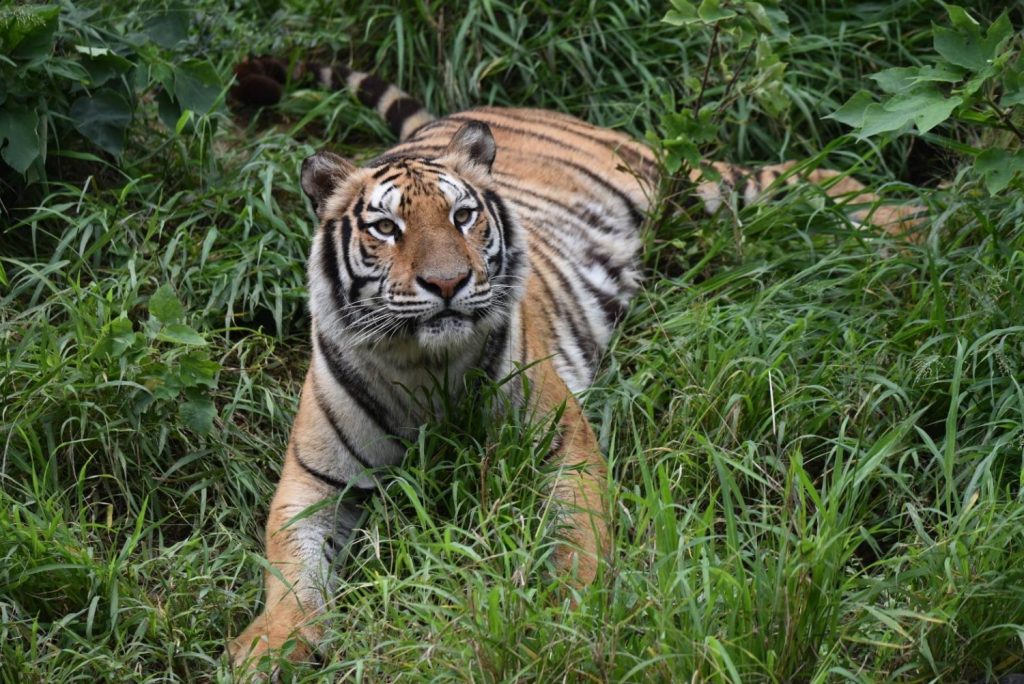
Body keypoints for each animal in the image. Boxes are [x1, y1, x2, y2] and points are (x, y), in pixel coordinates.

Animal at [226, 55, 924, 672]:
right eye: (386, 229)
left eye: (463, 215)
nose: (448, 283)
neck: (424, 367)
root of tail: (478, 111)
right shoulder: (316, 480)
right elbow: (289, 568)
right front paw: (269, 648)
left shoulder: (560, 444)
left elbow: (578, 540)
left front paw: (570, 618)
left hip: (690, 181)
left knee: (798, 174)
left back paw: (915, 222)